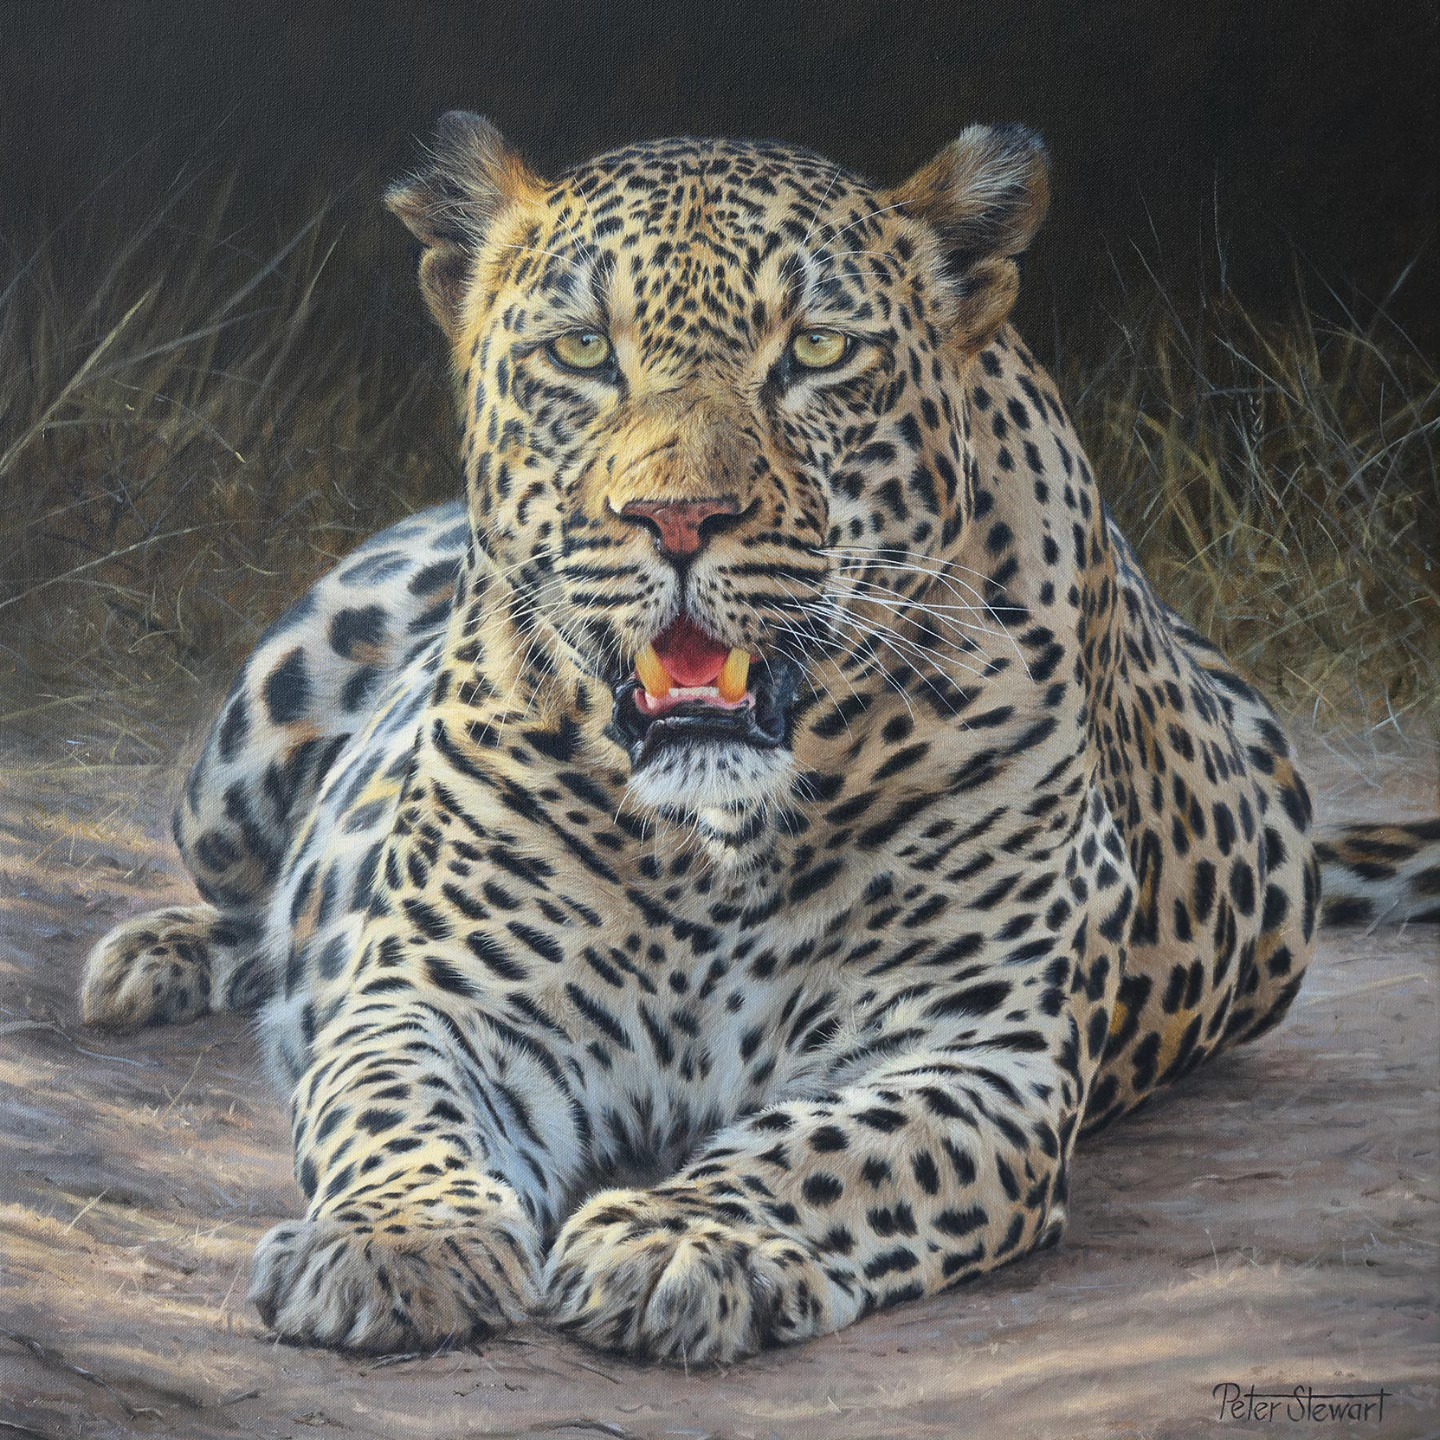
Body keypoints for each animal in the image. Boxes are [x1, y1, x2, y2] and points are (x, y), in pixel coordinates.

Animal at [80, 114, 1440, 1364]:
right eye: (584, 351)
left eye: (818, 352)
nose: (679, 518)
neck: (715, 836)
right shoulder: (439, 997)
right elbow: (392, 1110)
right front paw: (392, 1245)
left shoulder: (978, 1058)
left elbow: (821, 1151)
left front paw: (683, 1239)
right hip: (244, 748)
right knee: (251, 898)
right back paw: (151, 961)